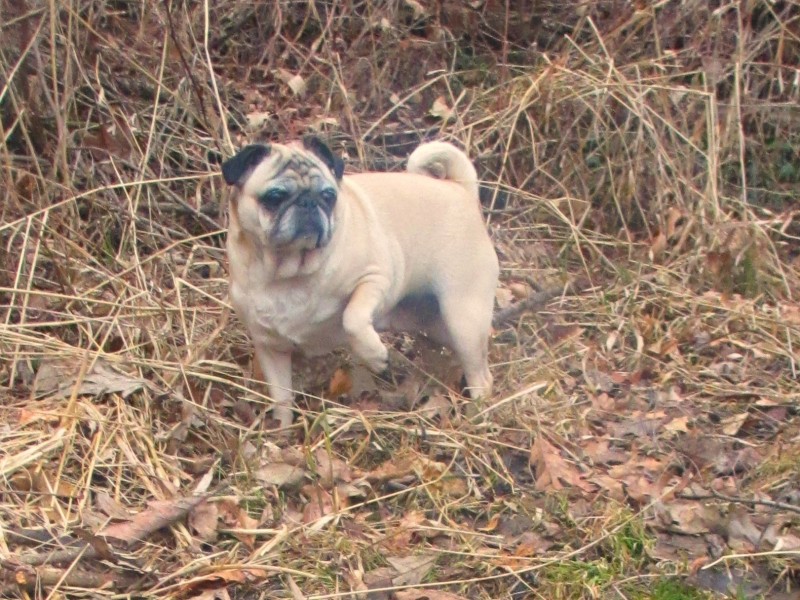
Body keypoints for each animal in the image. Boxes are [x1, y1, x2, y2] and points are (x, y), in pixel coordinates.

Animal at [223, 137, 500, 426]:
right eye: (275, 197)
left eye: (328, 196)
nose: (309, 203)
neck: (289, 274)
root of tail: (460, 189)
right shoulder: (270, 348)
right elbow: (281, 399)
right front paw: (281, 431)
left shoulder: (375, 279)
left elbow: (352, 318)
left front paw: (377, 357)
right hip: (438, 324)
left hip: (464, 319)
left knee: (482, 377)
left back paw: (476, 417)